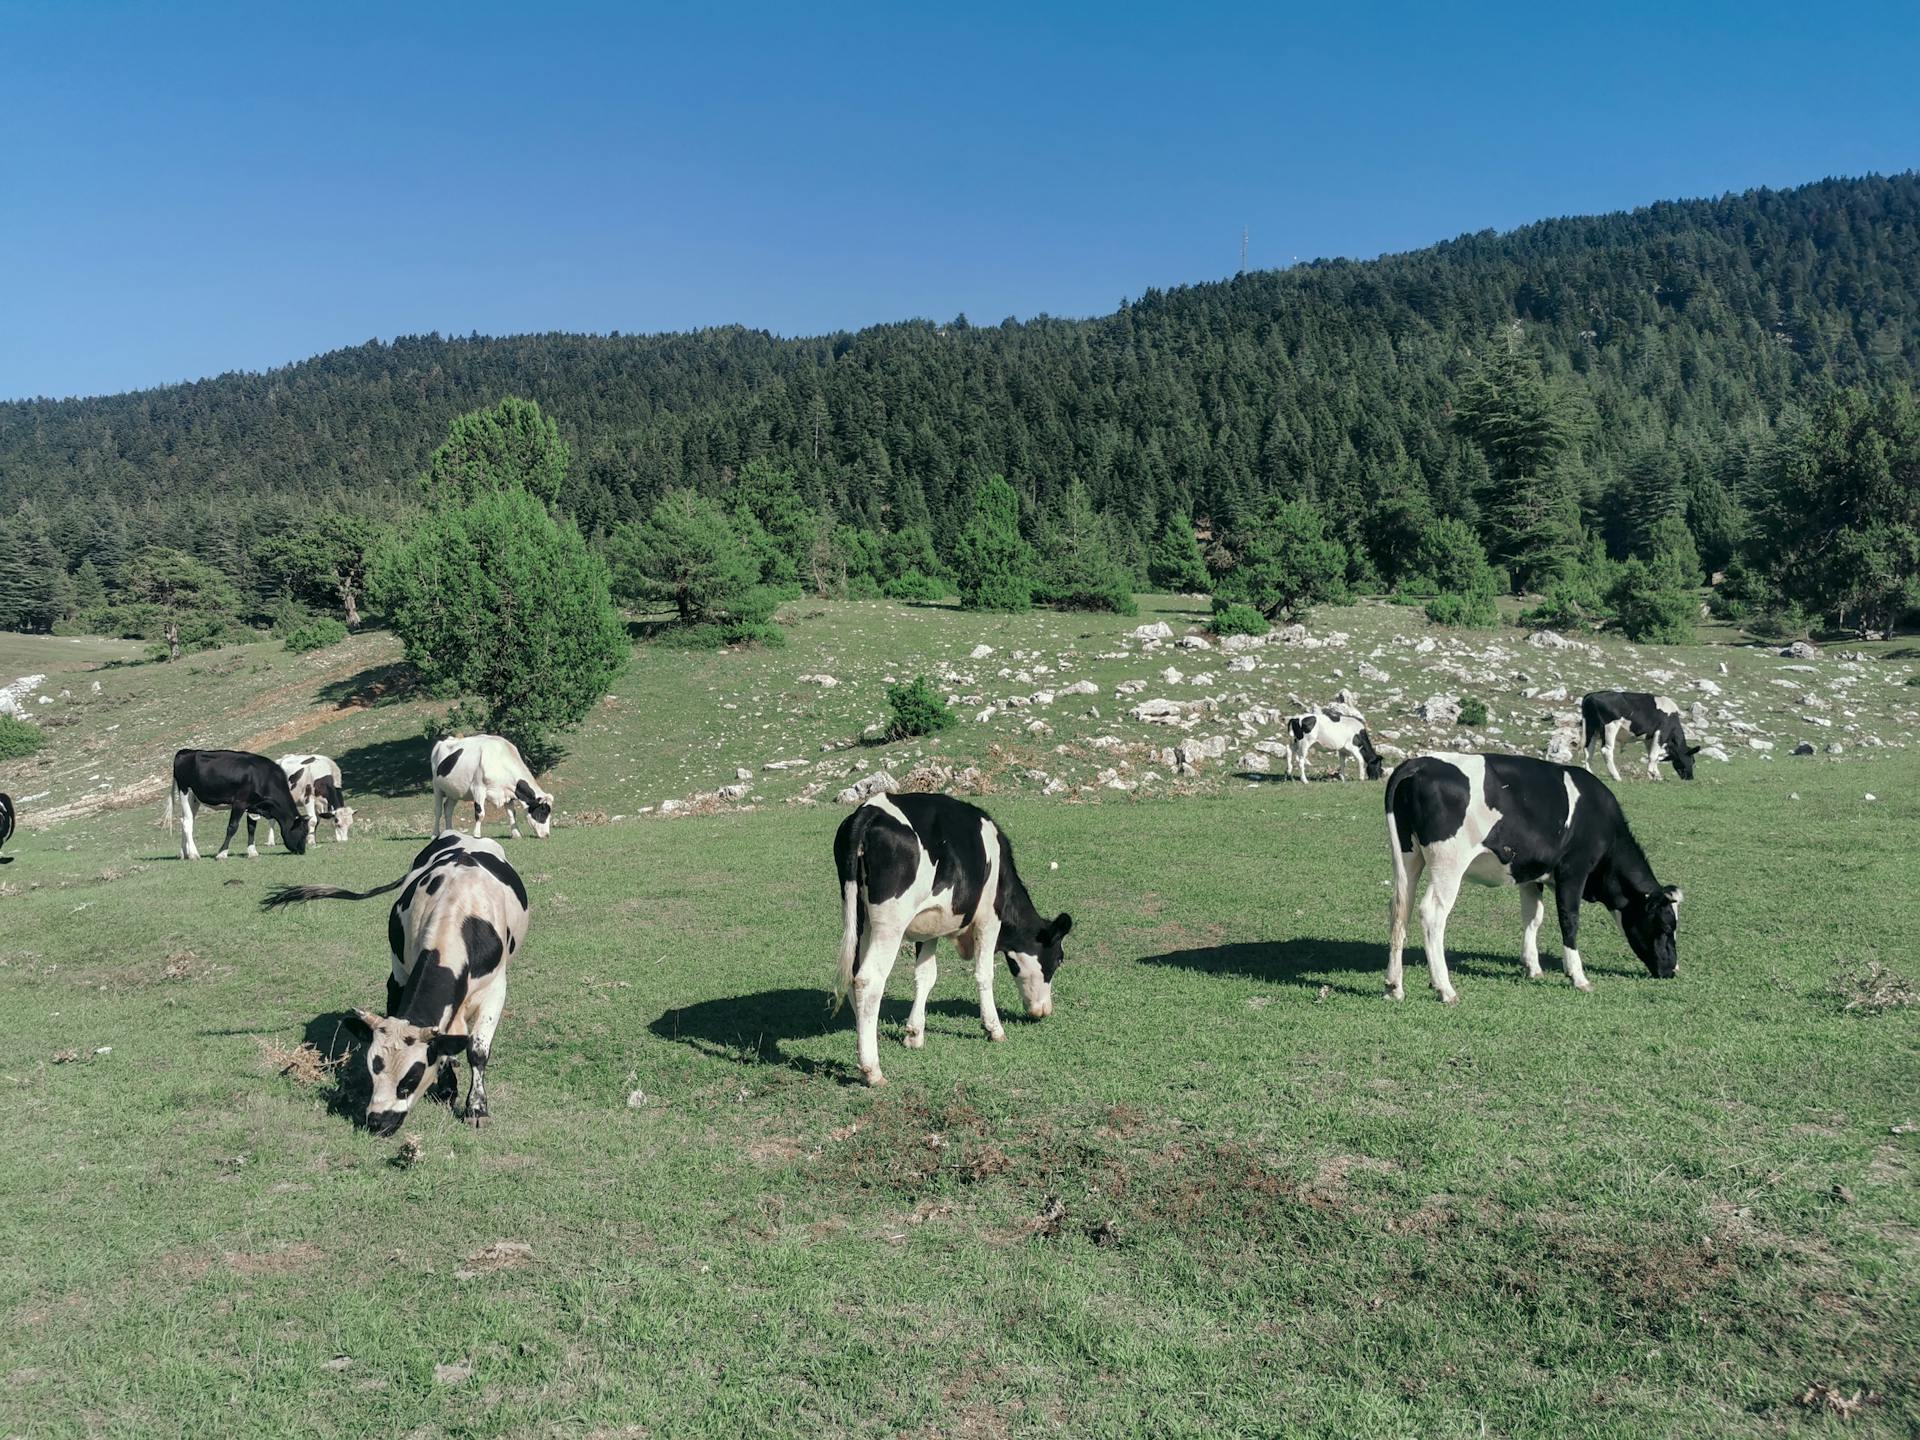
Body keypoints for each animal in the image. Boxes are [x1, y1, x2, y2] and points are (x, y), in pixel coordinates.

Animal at [167, 748, 309, 864]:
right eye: (303, 832)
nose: (302, 851)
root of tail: (185, 751)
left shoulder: (253, 805)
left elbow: (251, 828)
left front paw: (252, 852)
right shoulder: (240, 802)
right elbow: (232, 827)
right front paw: (222, 853)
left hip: (194, 798)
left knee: (186, 821)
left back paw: (184, 853)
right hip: (185, 791)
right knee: (187, 822)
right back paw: (193, 854)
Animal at [263, 833, 529, 1136]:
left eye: (410, 1079)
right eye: (373, 1071)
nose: (378, 1121)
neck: (458, 914)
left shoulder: (495, 990)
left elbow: (477, 1050)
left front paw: (477, 1108)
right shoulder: (403, 972)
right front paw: (448, 1087)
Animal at [833, 794, 1075, 1090]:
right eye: (1059, 959)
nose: (1044, 1011)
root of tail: (869, 810)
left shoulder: (929, 927)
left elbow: (926, 976)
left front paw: (914, 1033)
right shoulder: (988, 919)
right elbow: (985, 974)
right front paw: (994, 1028)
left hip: (859, 915)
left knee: (853, 975)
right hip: (890, 923)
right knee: (868, 981)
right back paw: (872, 1069)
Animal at [1382, 756, 1681, 1006]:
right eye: (1666, 926)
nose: (1672, 970)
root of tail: (1420, 763)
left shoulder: (1530, 873)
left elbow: (1533, 916)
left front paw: (1533, 967)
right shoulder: (1573, 871)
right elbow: (1569, 920)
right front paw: (1578, 977)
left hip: (1409, 858)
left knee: (1399, 910)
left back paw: (1394, 986)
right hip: (1449, 864)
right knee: (1432, 913)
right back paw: (1445, 988)